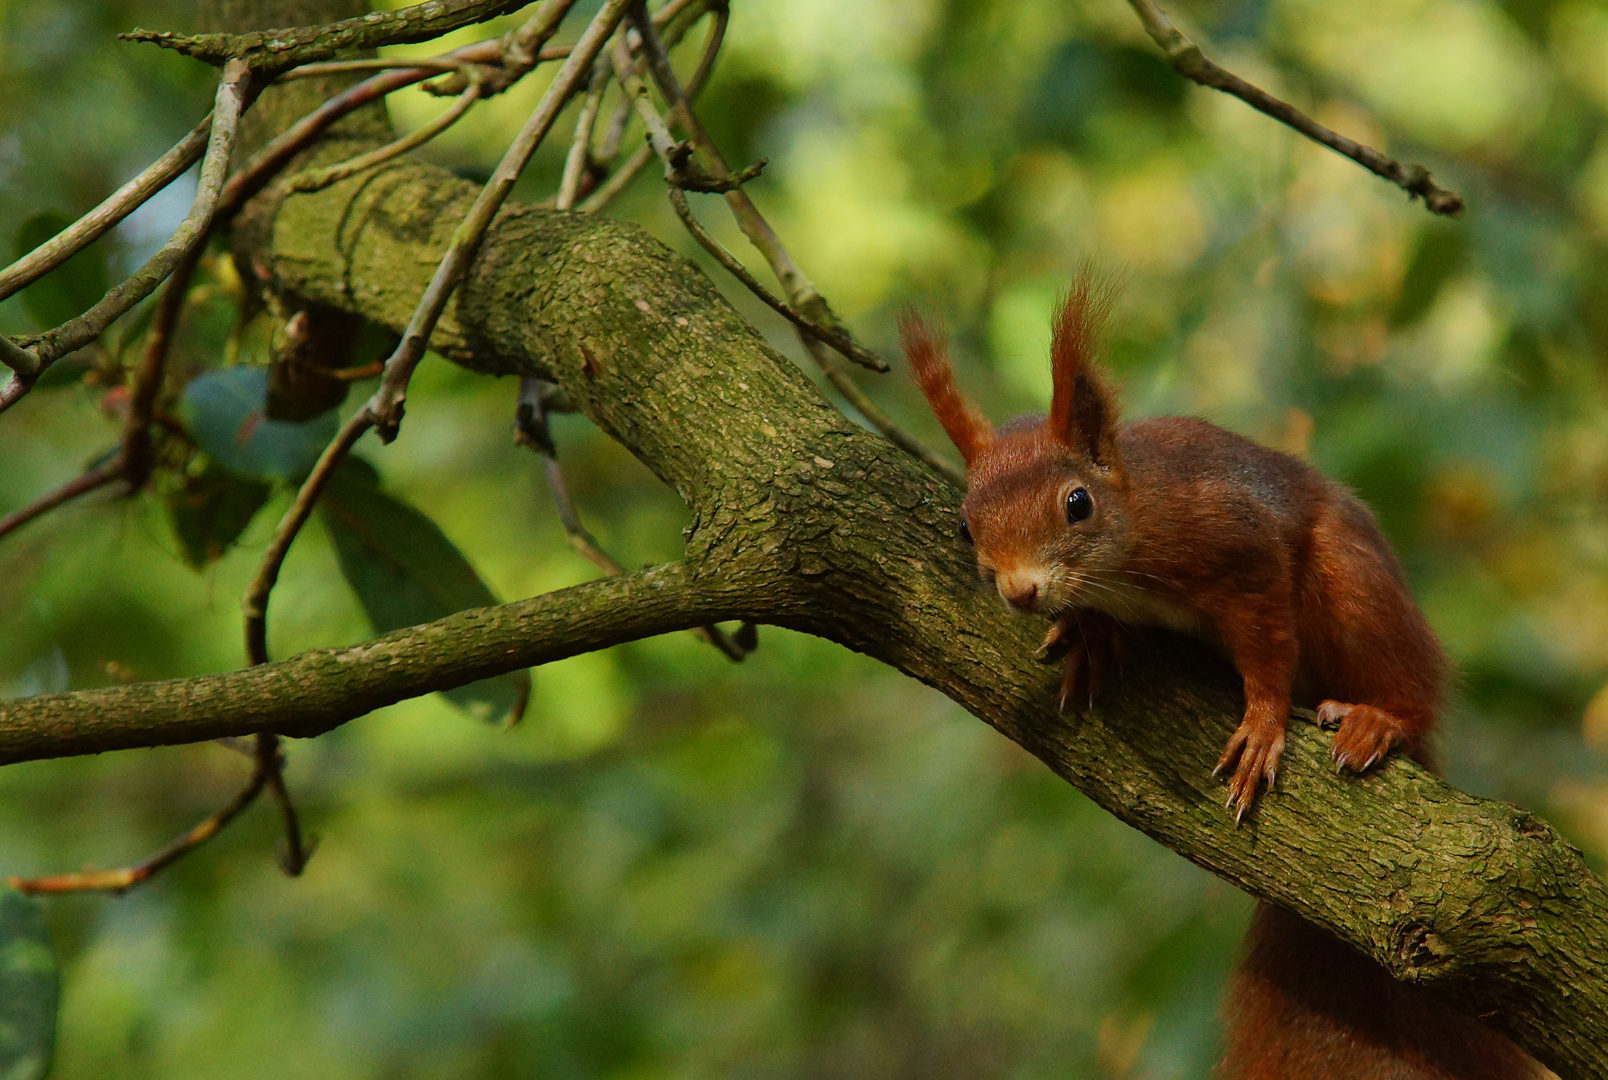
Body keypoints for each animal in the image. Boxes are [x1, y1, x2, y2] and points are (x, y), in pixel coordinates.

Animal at [906, 276, 1543, 1080]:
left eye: (1077, 504)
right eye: (966, 526)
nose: (1020, 591)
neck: (1133, 527)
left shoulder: (1238, 545)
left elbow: (1267, 644)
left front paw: (1262, 725)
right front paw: (1090, 634)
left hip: (1355, 586)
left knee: (1409, 684)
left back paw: (1381, 718)